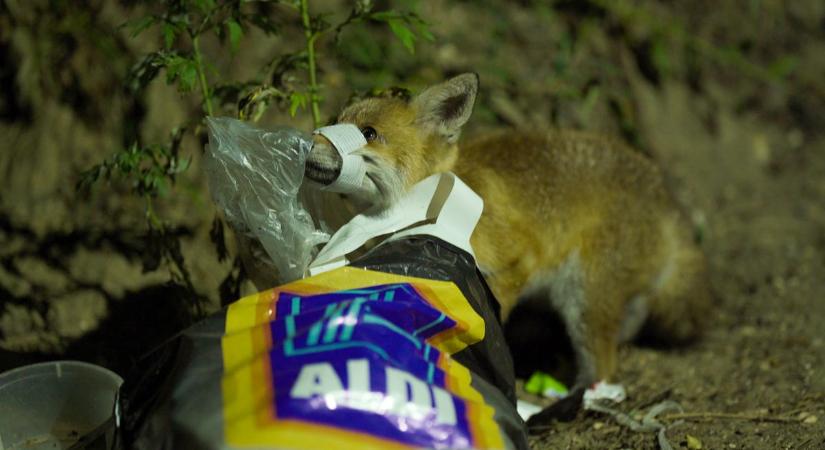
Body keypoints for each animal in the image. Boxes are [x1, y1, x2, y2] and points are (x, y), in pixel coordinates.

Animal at [249, 73, 708, 398]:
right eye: (335, 122)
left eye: (369, 134)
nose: (304, 141)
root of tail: (665, 195)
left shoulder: (513, 262)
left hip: (586, 300)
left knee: (606, 368)